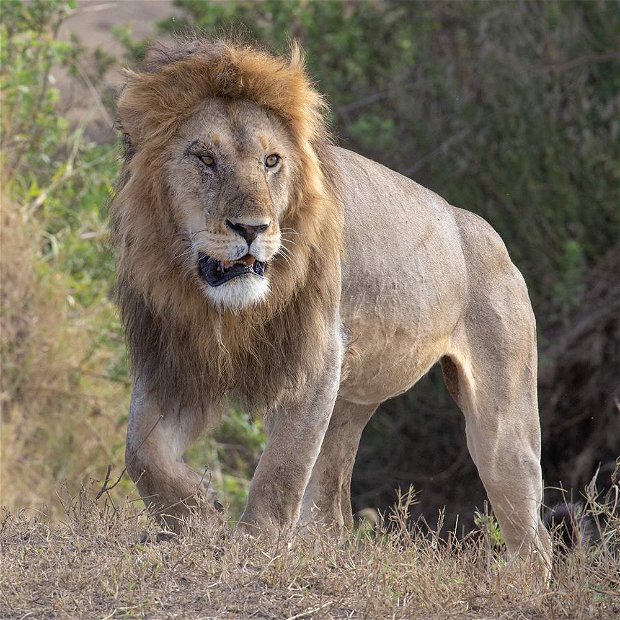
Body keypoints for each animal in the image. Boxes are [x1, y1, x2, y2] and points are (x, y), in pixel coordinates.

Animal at [114, 38, 548, 568]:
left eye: (272, 161)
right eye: (205, 158)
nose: (253, 229)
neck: (223, 306)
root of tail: (489, 236)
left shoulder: (316, 358)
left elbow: (280, 471)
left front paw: (254, 549)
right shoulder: (178, 361)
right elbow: (142, 453)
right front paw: (197, 515)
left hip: (502, 423)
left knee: (533, 534)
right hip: (350, 403)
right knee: (332, 511)